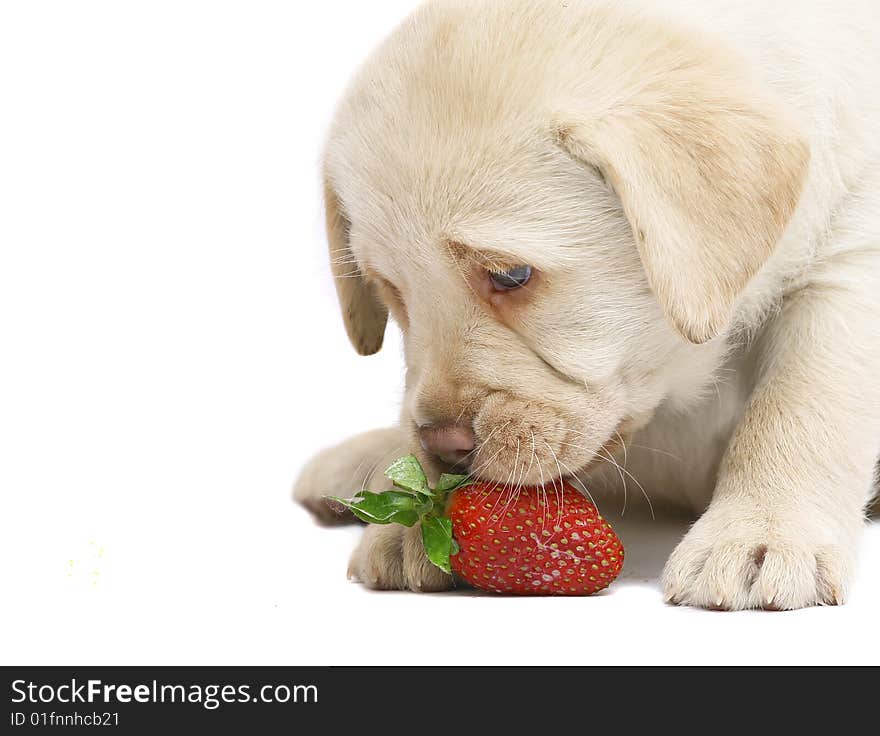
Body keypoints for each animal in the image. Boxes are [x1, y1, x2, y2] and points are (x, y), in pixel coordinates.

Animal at [296, 0, 880, 608]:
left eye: (511, 276)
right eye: (392, 290)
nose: (443, 445)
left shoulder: (848, 270)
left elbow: (797, 408)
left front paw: (760, 532)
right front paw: (416, 517)